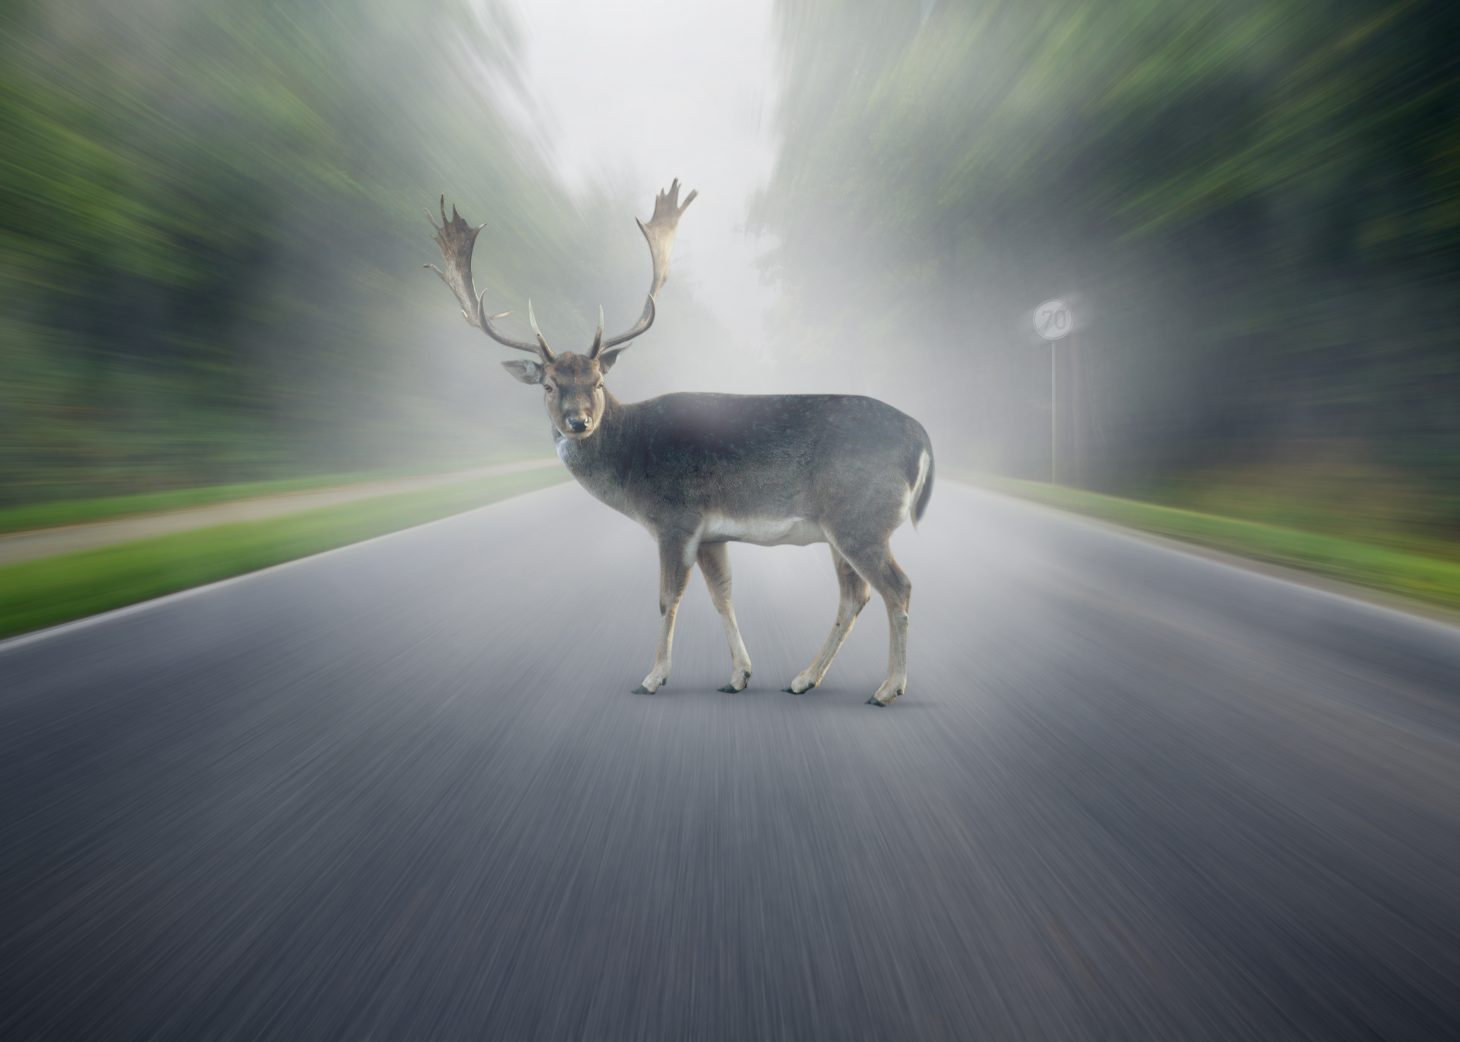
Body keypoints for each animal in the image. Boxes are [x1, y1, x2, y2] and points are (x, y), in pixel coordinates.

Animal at [426, 180, 934, 706]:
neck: (631, 467)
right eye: (548, 385)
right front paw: (738, 675)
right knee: (856, 595)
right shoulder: (711, 533)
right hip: (843, 528)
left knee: (898, 586)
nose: (578, 421)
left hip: (861, 517)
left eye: (598, 381)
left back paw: (887, 688)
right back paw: (803, 679)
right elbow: (722, 594)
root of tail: (922, 438)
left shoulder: (676, 517)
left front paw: (652, 677)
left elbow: (667, 597)